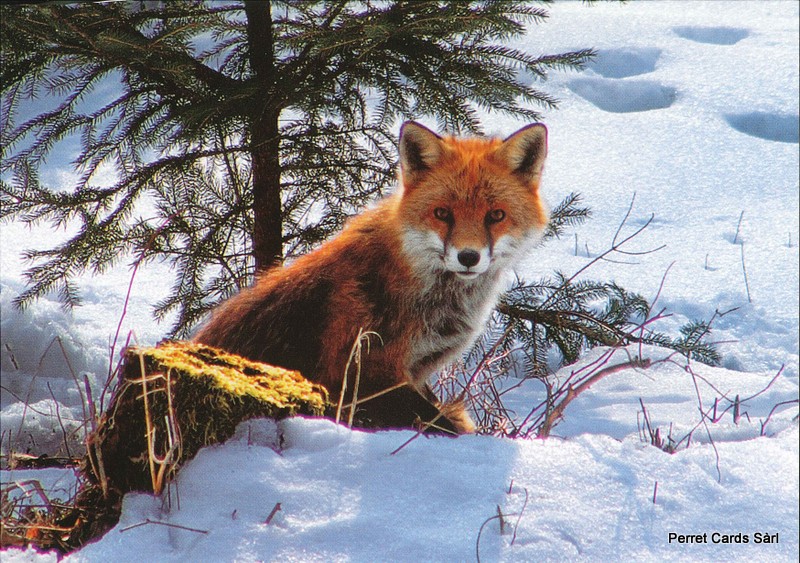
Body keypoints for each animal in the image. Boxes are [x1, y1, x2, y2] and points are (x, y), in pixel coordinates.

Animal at [193, 121, 549, 433]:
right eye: (442, 213)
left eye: (496, 215)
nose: (468, 257)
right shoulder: (363, 371)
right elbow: (446, 428)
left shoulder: (413, 372)